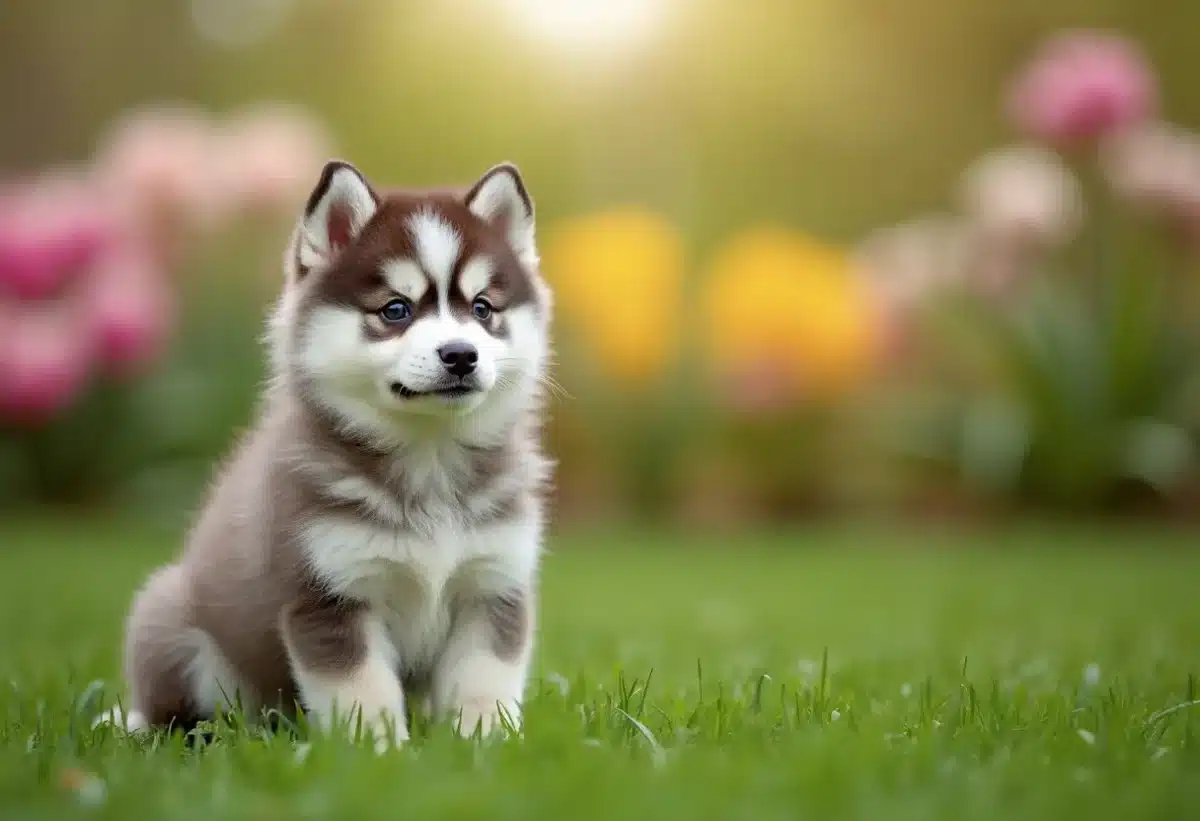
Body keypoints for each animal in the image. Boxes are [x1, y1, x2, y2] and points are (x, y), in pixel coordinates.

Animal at [103, 160, 552, 748]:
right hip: (170, 614)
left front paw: (485, 742)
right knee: (172, 710)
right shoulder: (328, 594)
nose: (460, 354)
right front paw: (379, 750)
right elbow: (362, 690)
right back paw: (139, 726)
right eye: (395, 310)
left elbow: (484, 682)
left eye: (482, 309)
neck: (427, 459)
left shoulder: (492, 585)